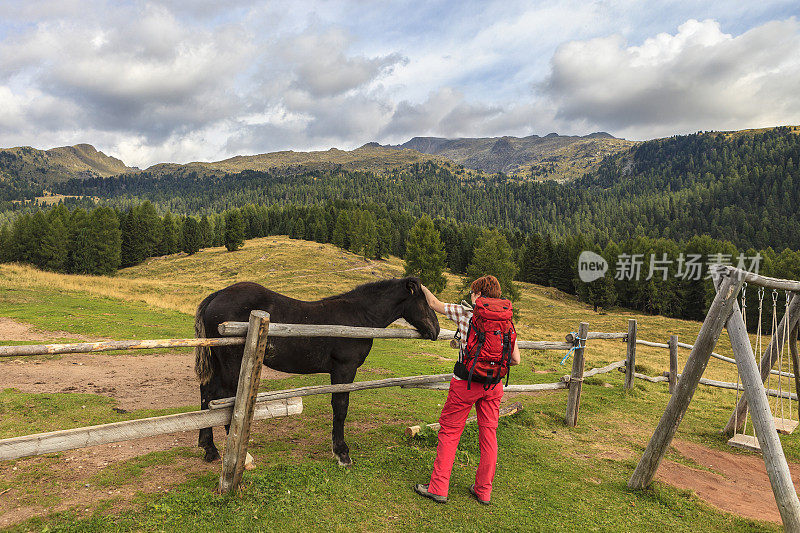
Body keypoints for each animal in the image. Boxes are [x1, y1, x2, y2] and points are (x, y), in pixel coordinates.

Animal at [196, 276, 440, 464]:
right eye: (425, 302)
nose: (436, 330)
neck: (359, 316)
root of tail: (217, 296)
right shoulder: (344, 369)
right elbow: (340, 407)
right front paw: (342, 453)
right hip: (232, 364)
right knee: (227, 398)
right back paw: (242, 458)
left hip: (217, 362)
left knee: (207, 394)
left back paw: (210, 449)